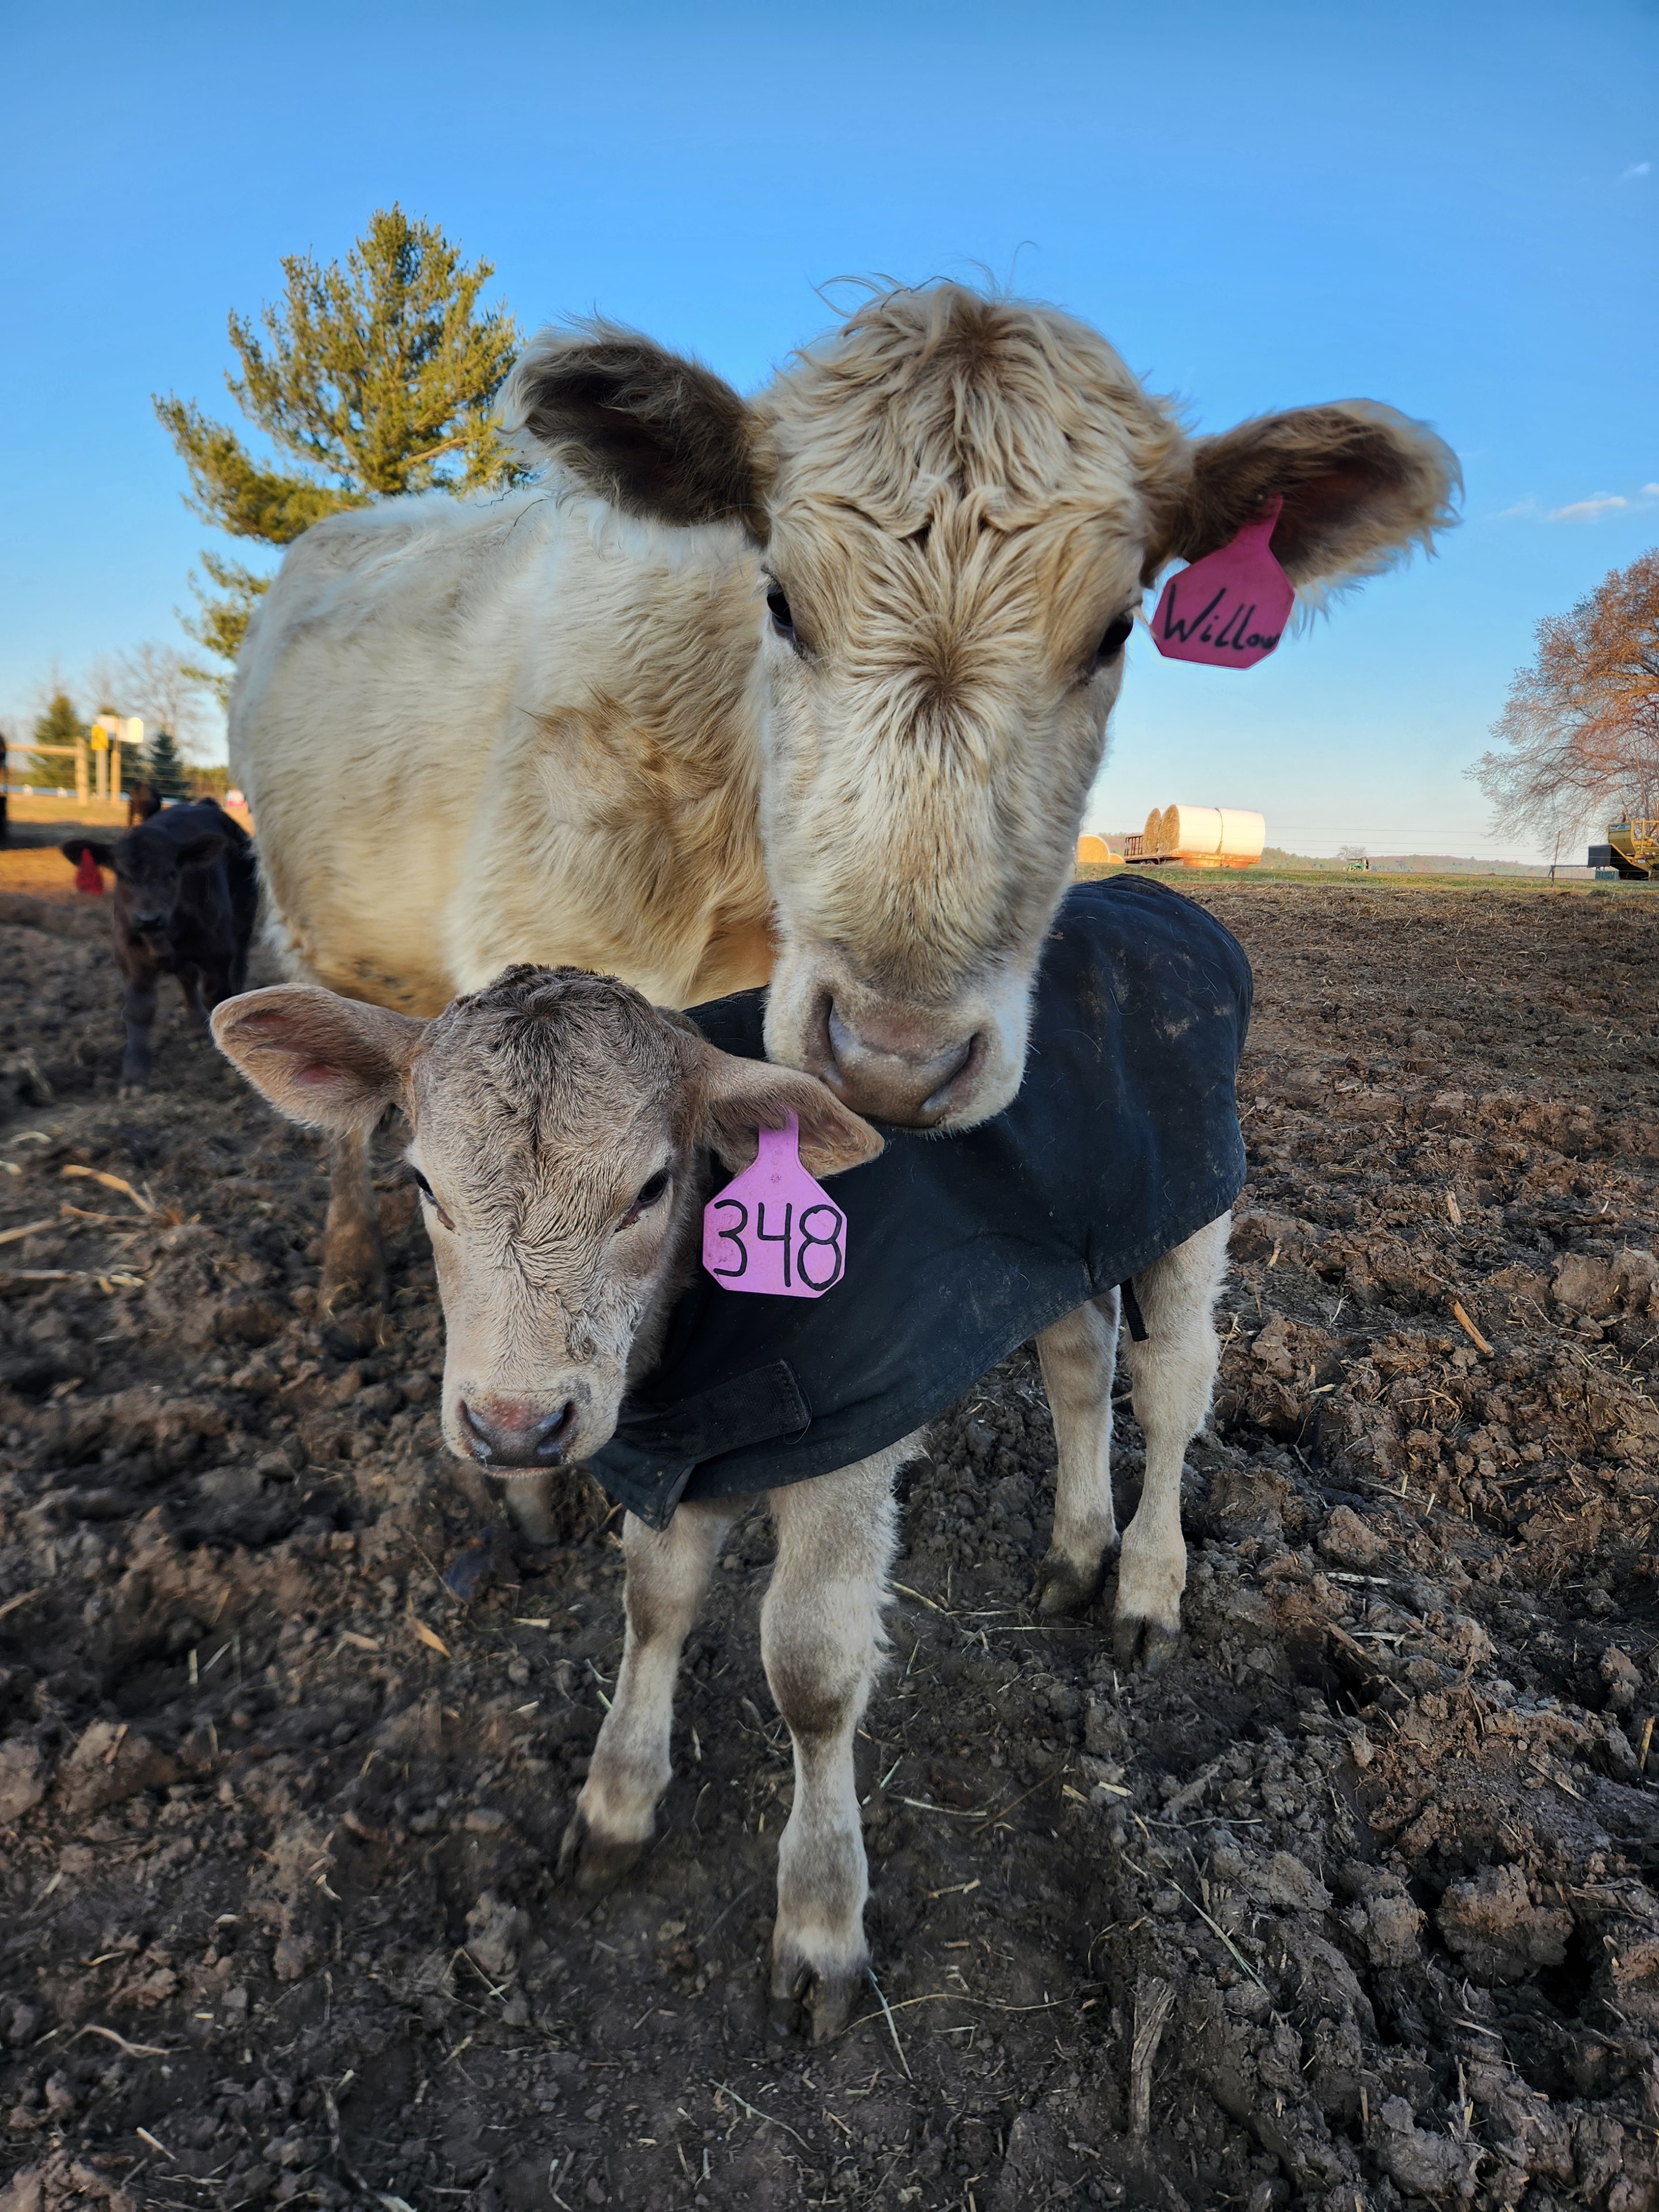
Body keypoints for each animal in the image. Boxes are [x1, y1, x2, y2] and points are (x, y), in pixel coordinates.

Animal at [62, 799, 258, 1089]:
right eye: (122, 875)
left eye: (172, 873)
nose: (149, 919)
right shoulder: (129, 953)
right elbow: (139, 1008)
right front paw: (135, 1072)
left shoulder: (218, 952)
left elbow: (217, 995)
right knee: (188, 978)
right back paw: (196, 1028)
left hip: (244, 917)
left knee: (240, 966)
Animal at [212, 873, 1249, 2038]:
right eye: (427, 1186)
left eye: (652, 1188)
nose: (516, 1426)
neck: (685, 1349)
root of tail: (1151, 890)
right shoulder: (673, 1451)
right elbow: (653, 1606)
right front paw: (616, 1803)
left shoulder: (849, 1446)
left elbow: (811, 1674)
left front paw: (821, 1917)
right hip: (1069, 1236)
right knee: (1078, 1358)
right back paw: (1076, 1550)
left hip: (1193, 1204)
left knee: (1171, 1389)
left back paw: (1147, 1585)